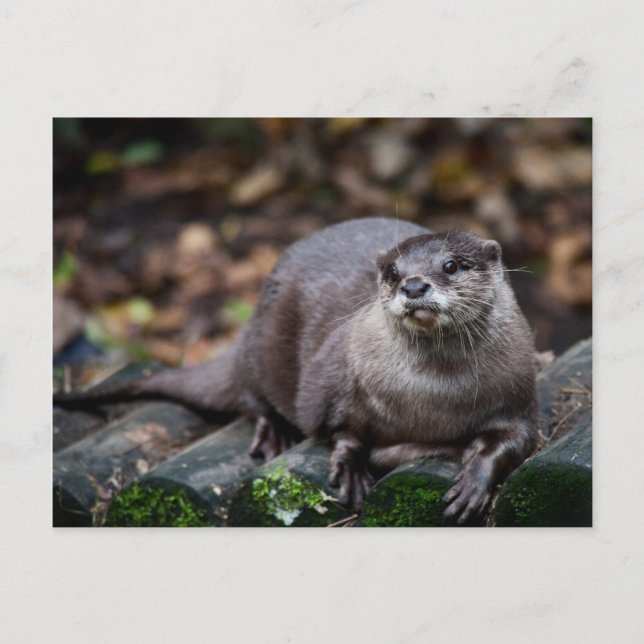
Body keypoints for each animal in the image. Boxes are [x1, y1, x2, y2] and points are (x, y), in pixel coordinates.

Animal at [55, 217, 538, 522]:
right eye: (392, 271)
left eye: (451, 265)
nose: (413, 285)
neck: (432, 398)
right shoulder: (336, 384)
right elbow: (340, 429)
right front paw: (350, 468)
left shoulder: (519, 395)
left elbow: (515, 441)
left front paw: (474, 480)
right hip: (263, 346)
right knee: (251, 395)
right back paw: (273, 432)